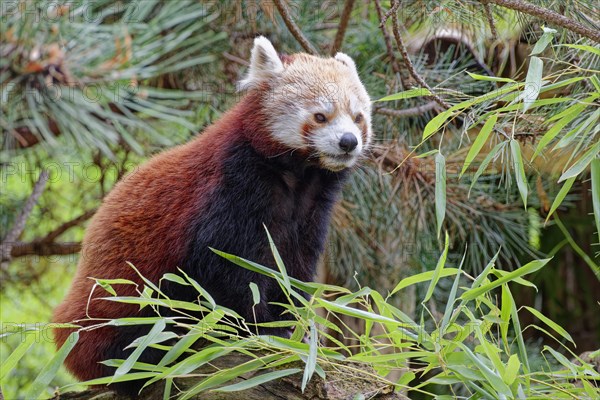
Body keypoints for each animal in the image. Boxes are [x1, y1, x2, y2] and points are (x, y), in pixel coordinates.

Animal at [52, 36, 370, 392]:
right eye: (320, 116)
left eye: (357, 117)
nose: (348, 142)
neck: (297, 178)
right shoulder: (230, 191)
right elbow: (226, 270)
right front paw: (259, 327)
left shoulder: (310, 213)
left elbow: (292, 268)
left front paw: (292, 324)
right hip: (115, 303)